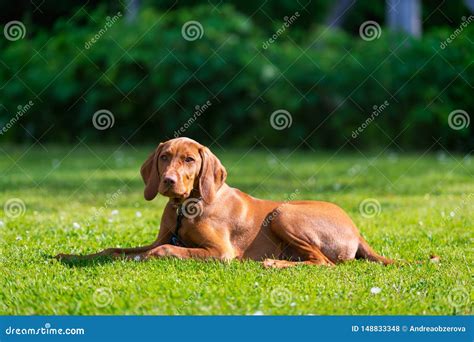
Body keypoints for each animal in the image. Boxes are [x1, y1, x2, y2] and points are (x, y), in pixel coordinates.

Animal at [56, 136, 392, 268]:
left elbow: (162, 251)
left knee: (324, 263)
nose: (168, 181)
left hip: (284, 213)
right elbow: (112, 249)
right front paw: (72, 256)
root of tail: (356, 230)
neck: (185, 208)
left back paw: (274, 263)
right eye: (164, 157)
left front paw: (139, 259)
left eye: (189, 160)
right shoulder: (161, 237)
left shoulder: (220, 253)